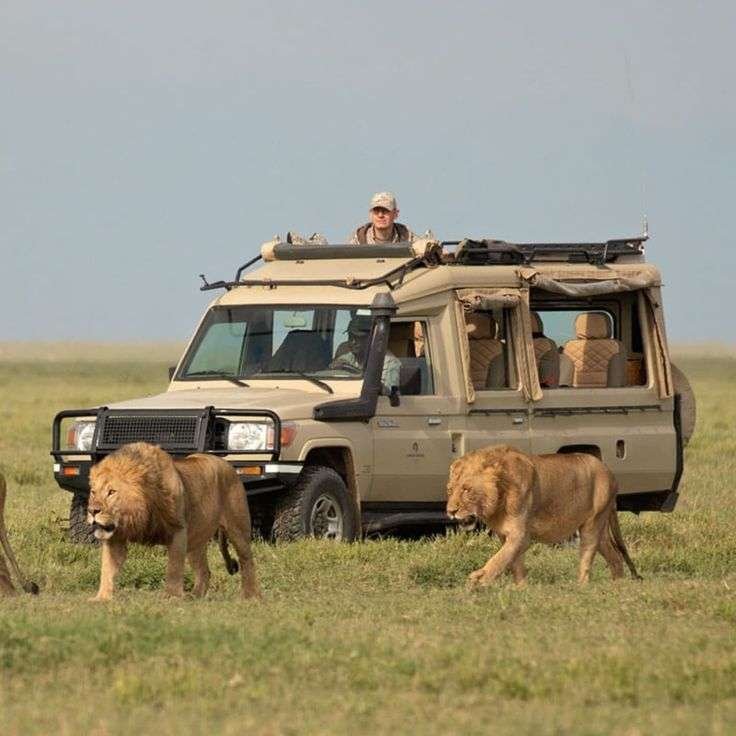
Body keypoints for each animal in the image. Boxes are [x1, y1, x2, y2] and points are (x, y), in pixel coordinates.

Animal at [88, 443, 260, 601]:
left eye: (111, 492)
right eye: (93, 492)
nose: (92, 511)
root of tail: (227, 464)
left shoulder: (178, 530)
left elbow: (174, 567)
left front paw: (171, 597)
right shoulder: (116, 538)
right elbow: (107, 569)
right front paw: (102, 598)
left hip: (238, 528)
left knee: (247, 561)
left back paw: (250, 596)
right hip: (195, 540)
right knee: (204, 571)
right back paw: (194, 597)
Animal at [446, 445, 641, 587]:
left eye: (466, 490)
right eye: (450, 490)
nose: (450, 511)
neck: (498, 499)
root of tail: (609, 471)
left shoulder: (521, 534)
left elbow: (501, 558)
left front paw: (479, 579)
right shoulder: (505, 534)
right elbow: (514, 561)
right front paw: (521, 588)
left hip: (593, 524)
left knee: (588, 555)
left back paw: (581, 586)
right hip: (600, 529)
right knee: (615, 557)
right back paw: (617, 585)